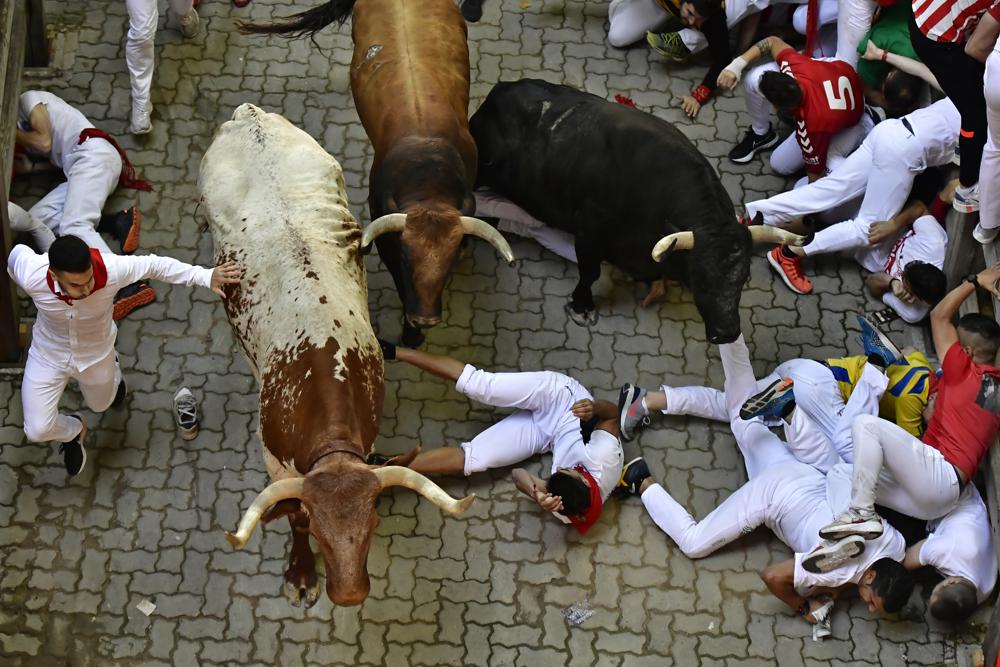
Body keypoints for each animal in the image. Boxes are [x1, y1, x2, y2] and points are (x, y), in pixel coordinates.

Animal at [468, 79, 752, 344]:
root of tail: (501, 89)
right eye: (700, 278)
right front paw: (582, 307)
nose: (727, 332)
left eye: (744, 278)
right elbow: (589, 273)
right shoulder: (589, 234)